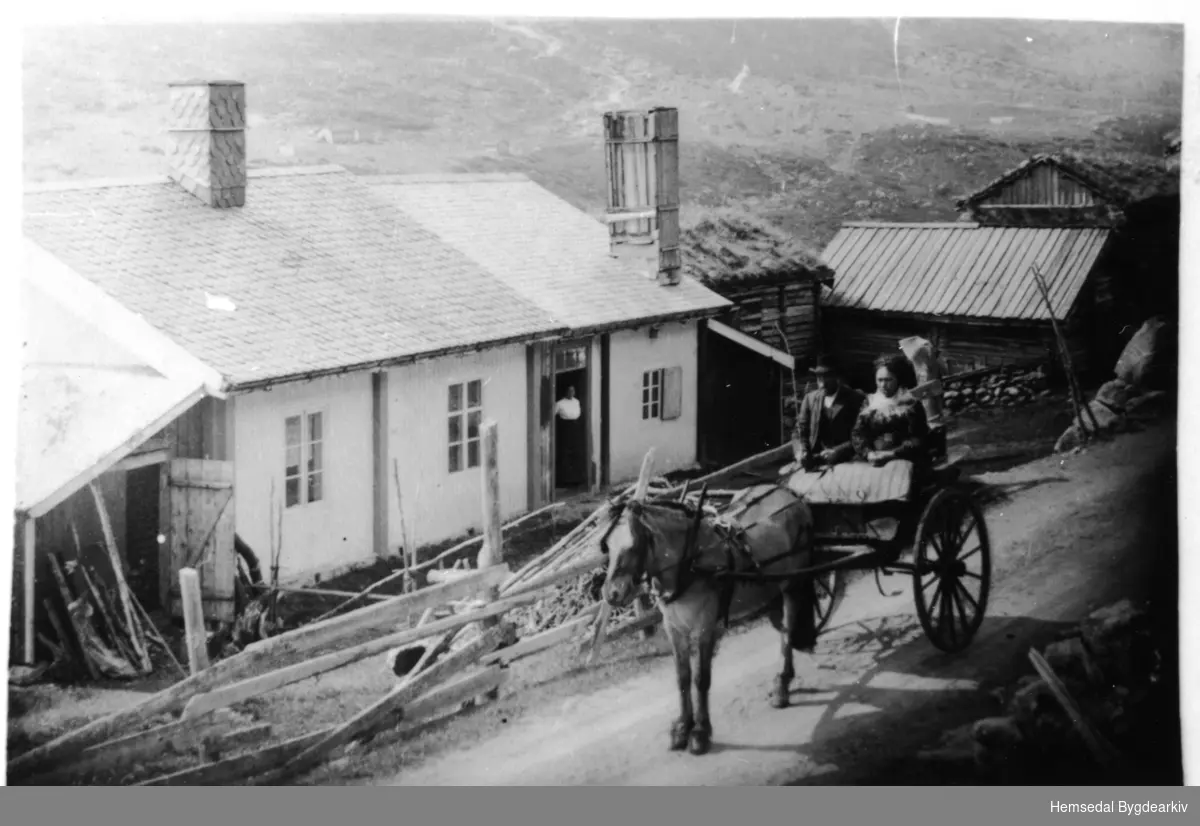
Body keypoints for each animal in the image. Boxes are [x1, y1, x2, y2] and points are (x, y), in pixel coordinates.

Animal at [597, 480, 816, 758]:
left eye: (635, 543)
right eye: (607, 546)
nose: (612, 593)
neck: (689, 563)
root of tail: (790, 493)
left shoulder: (704, 628)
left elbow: (701, 679)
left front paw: (700, 732)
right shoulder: (674, 628)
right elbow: (682, 677)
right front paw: (682, 727)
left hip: (791, 585)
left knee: (788, 631)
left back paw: (782, 685)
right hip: (772, 590)